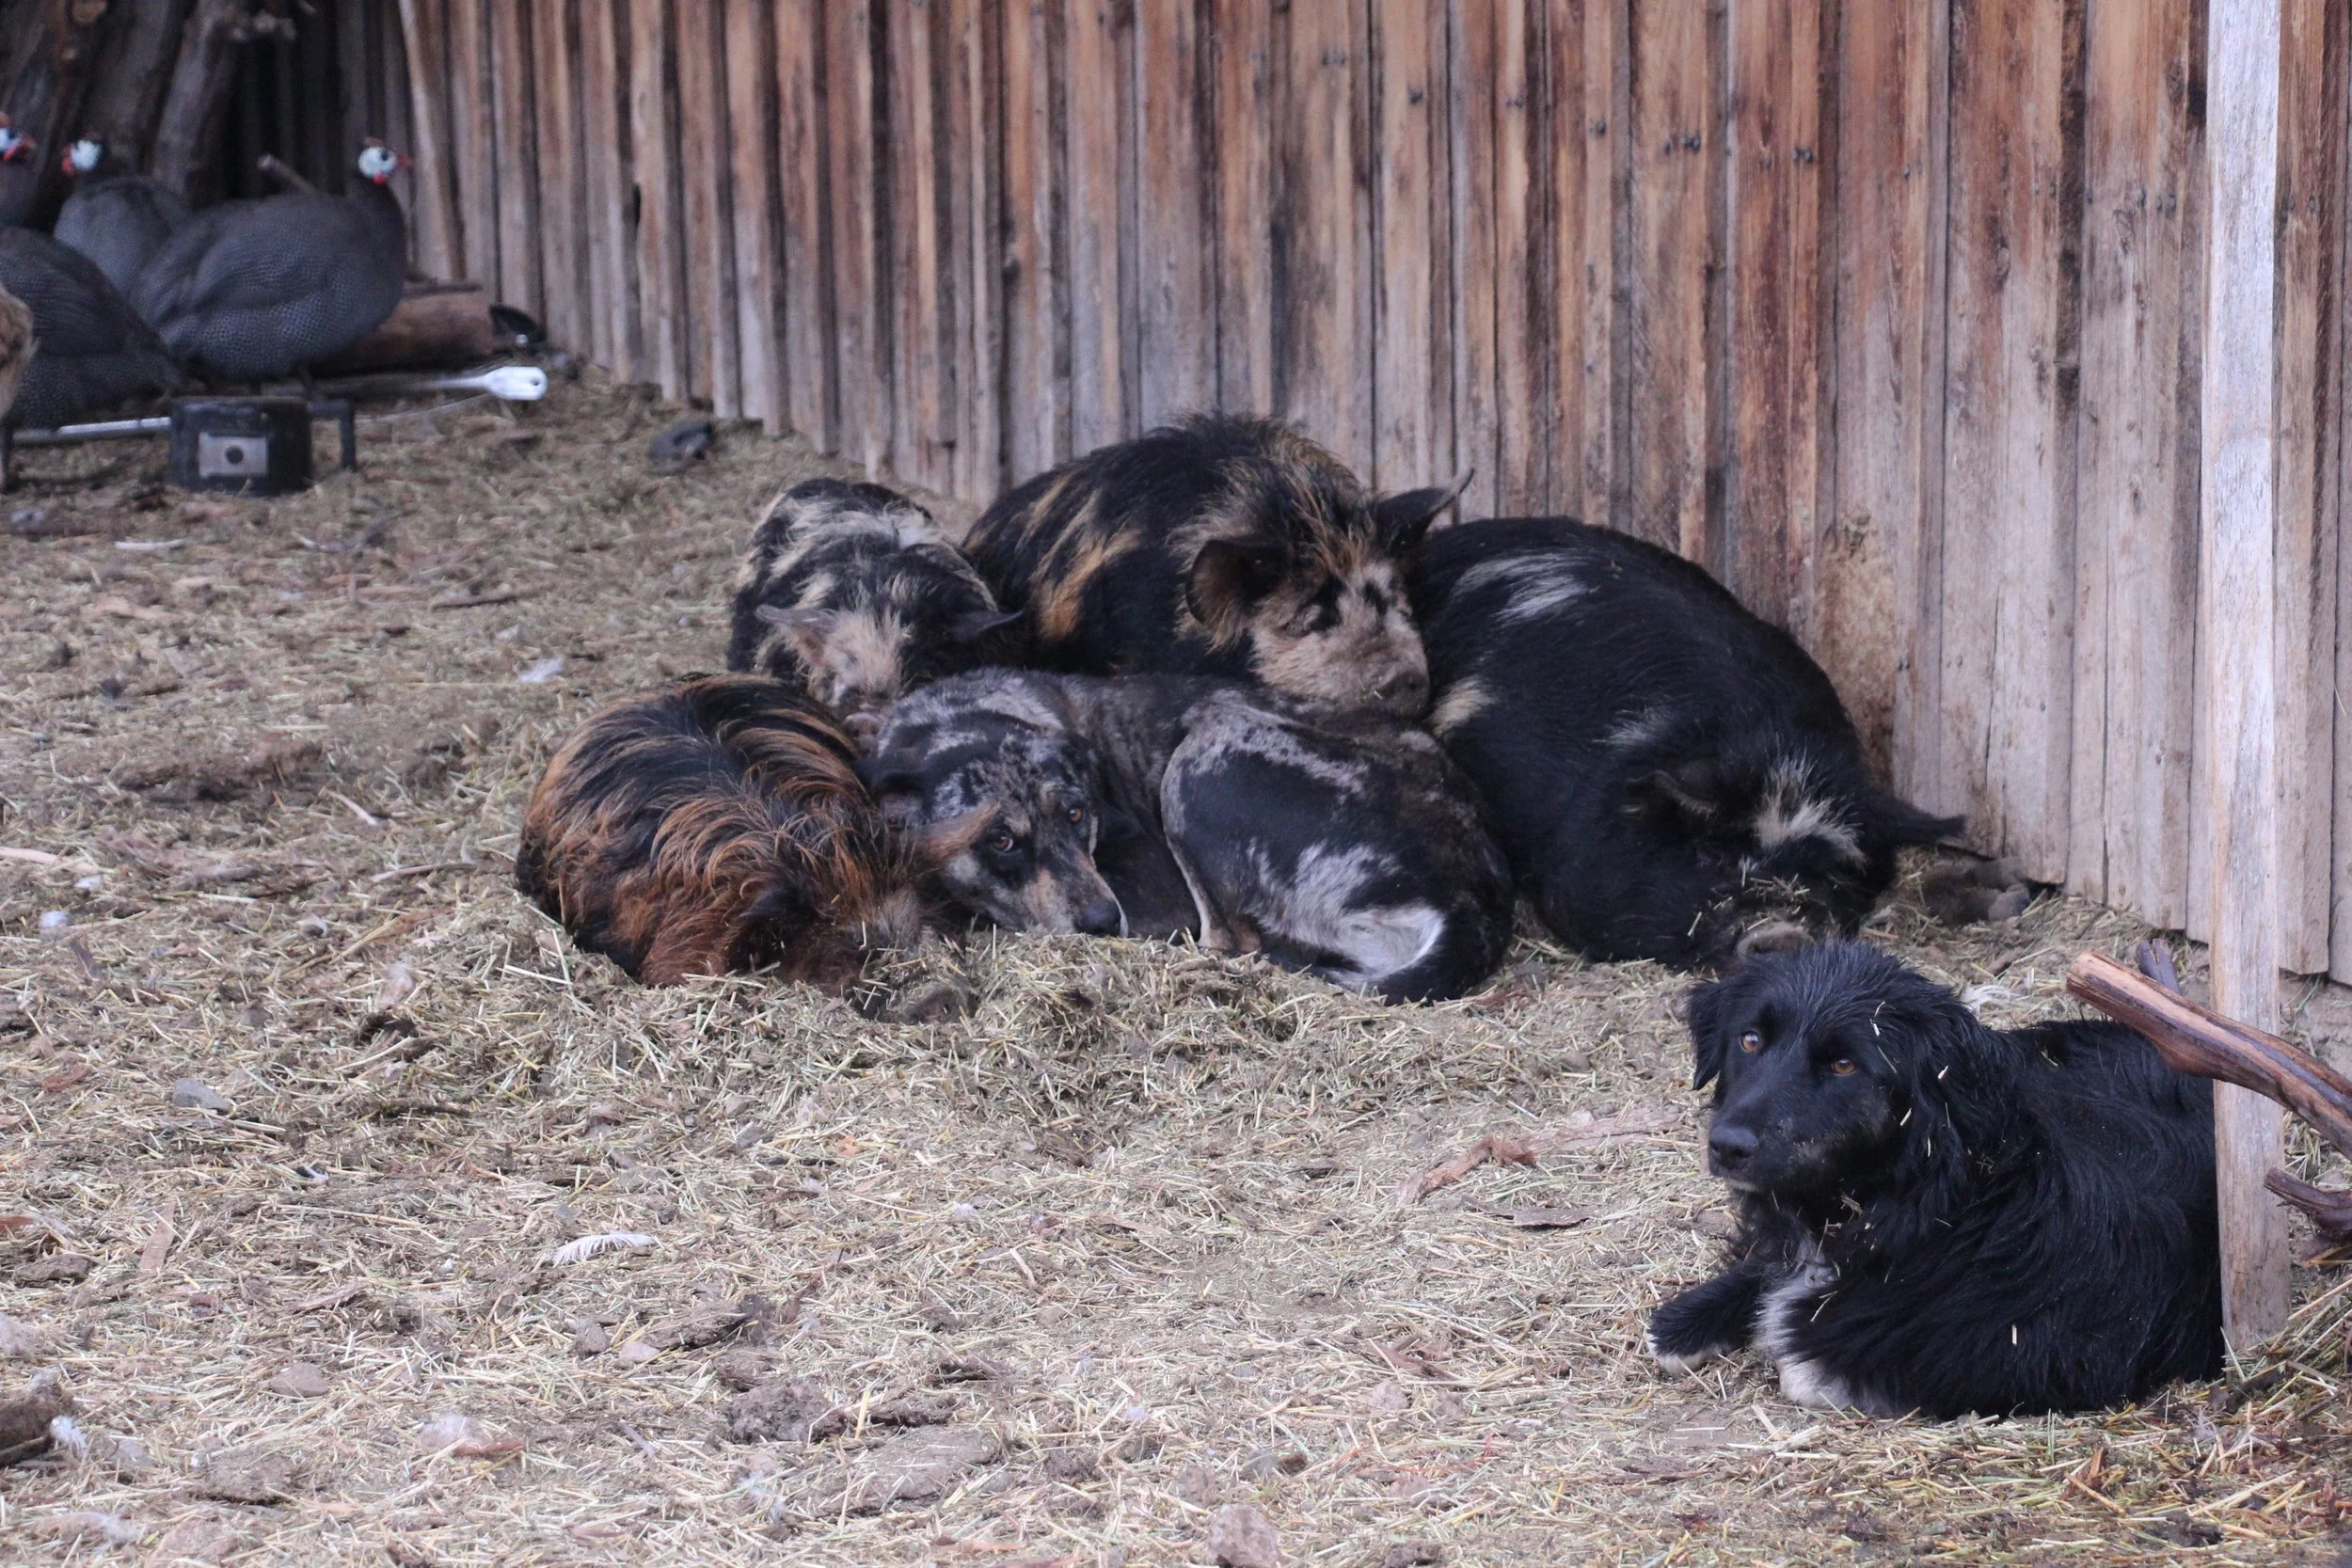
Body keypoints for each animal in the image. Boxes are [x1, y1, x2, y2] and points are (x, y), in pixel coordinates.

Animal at [1648, 941, 2222, 1417]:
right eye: (1749, 1040)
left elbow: (1807, 1363)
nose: (1727, 1146)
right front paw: (1684, 1323)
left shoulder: (2035, 1354)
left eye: (1844, 1065)